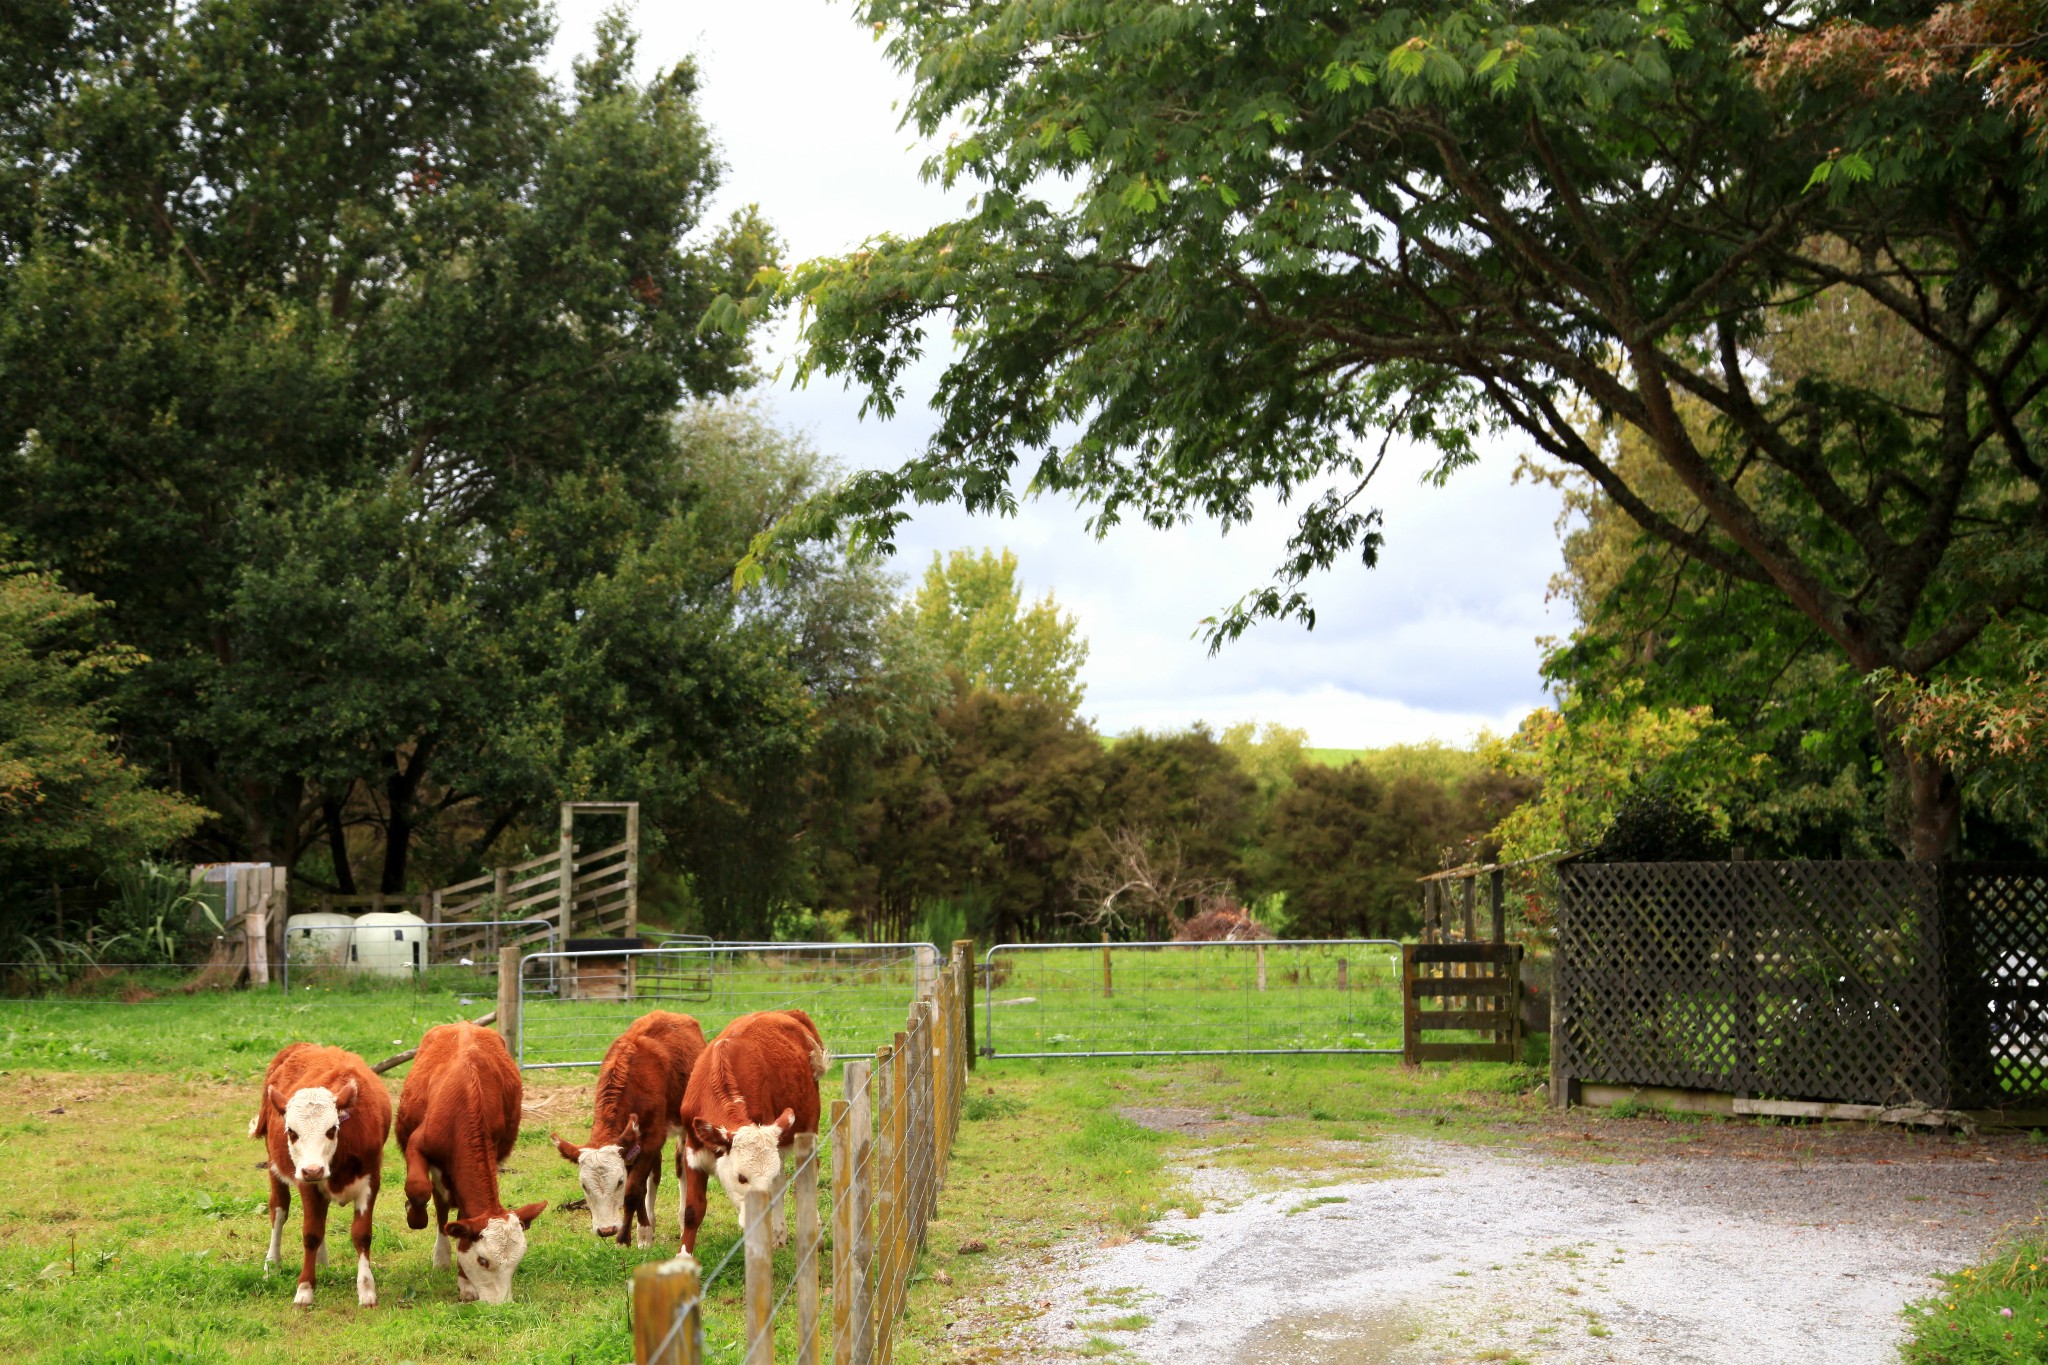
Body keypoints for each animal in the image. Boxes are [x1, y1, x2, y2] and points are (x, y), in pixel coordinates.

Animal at [250, 1055, 391, 1309]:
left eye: (332, 1129)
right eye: (291, 1132)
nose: (313, 1169)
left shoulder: (370, 1182)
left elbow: (361, 1234)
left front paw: (367, 1290)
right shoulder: (307, 1184)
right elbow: (311, 1234)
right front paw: (304, 1290)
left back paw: (322, 1263)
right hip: (275, 1168)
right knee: (279, 1211)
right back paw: (272, 1264)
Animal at [391, 1023, 544, 1301]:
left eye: (517, 1262)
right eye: (483, 1260)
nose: (503, 1304)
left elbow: (463, 1218)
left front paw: (465, 1284)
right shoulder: (416, 1146)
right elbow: (418, 1190)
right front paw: (413, 1214)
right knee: (439, 1205)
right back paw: (440, 1256)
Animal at [552, 1010, 704, 1244]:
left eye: (619, 1181)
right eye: (584, 1186)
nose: (605, 1230)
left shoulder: (653, 1137)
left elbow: (633, 1190)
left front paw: (626, 1237)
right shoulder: (632, 1144)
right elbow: (641, 1188)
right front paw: (643, 1233)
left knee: (681, 1168)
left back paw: (680, 1221)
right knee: (654, 1176)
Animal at [679, 1010, 823, 1252]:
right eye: (741, 1177)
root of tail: (787, 1013)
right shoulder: (694, 1151)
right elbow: (692, 1211)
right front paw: (683, 1257)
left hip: (807, 1128)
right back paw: (779, 1234)